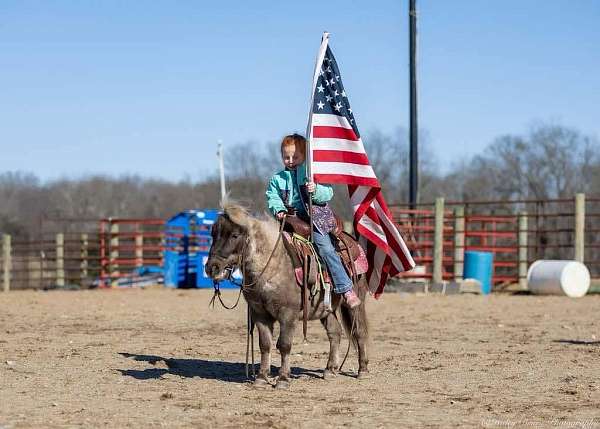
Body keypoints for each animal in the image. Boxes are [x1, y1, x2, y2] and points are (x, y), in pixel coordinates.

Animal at [206, 201, 370, 388]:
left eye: (234, 235)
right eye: (213, 234)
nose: (212, 268)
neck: (273, 265)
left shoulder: (288, 314)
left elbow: (284, 344)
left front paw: (283, 378)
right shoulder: (260, 314)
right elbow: (265, 344)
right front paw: (261, 377)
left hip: (355, 303)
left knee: (359, 331)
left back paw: (363, 370)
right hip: (324, 309)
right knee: (335, 332)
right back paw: (330, 369)